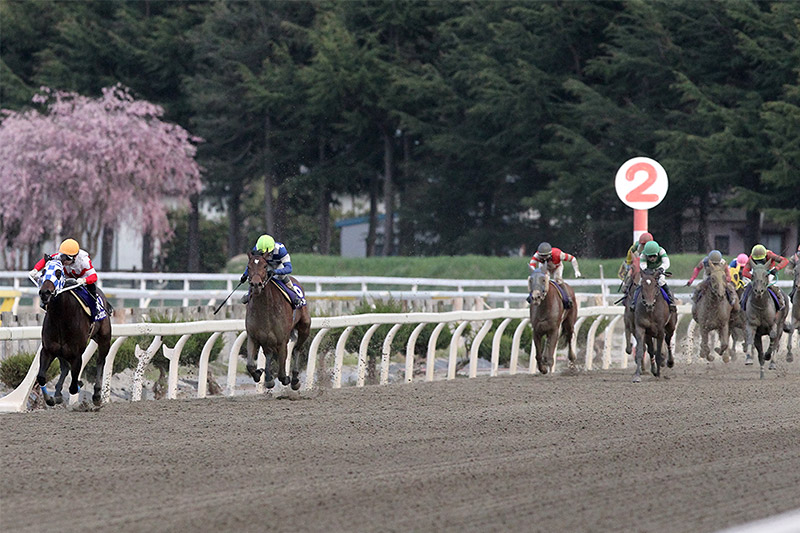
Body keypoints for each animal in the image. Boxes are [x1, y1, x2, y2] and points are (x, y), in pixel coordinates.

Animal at [35, 256, 111, 404]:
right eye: (43, 271)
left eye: (59, 273)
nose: (45, 293)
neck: (61, 317)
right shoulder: (48, 350)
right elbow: (41, 377)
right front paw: (51, 399)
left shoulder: (76, 355)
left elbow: (73, 387)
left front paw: (79, 384)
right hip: (60, 350)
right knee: (64, 367)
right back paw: (58, 393)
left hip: (105, 339)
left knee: (100, 361)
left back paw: (97, 395)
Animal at [244, 251, 310, 388]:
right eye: (248, 267)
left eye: (265, 266)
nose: (256, 285)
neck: (265, 309)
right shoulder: (253, 337)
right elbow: (250, 365)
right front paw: (259, 373)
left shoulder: (282, 340)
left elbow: (282, 372)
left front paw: (286, 378)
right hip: (267, 340)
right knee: (269, 354)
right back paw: (268, 379)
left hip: (305, 327)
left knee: (297, 349)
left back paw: (295, 379)